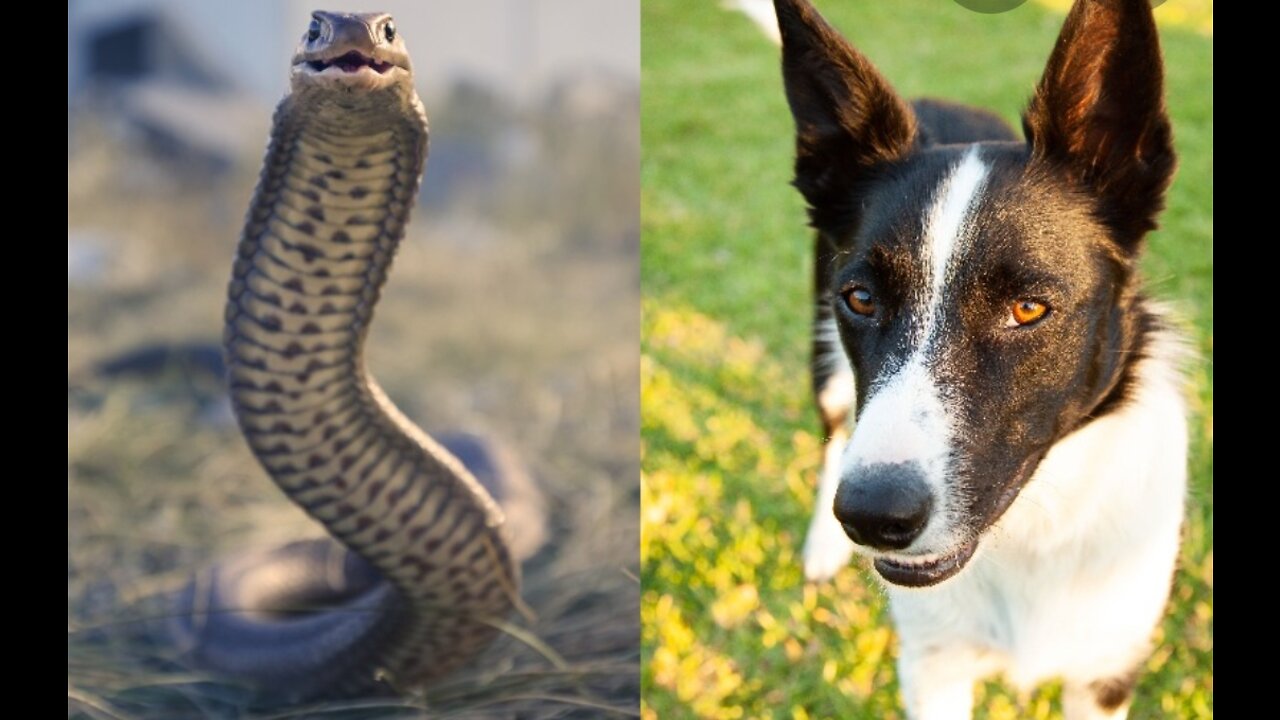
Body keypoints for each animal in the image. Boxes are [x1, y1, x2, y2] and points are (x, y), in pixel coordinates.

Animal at [773, 0, 1192, 712]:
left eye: (1028, 309)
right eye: (861, 298)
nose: (872, 518)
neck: (1030, 527)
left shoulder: (1107, 672)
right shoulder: (933, 668)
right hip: (825, 367)